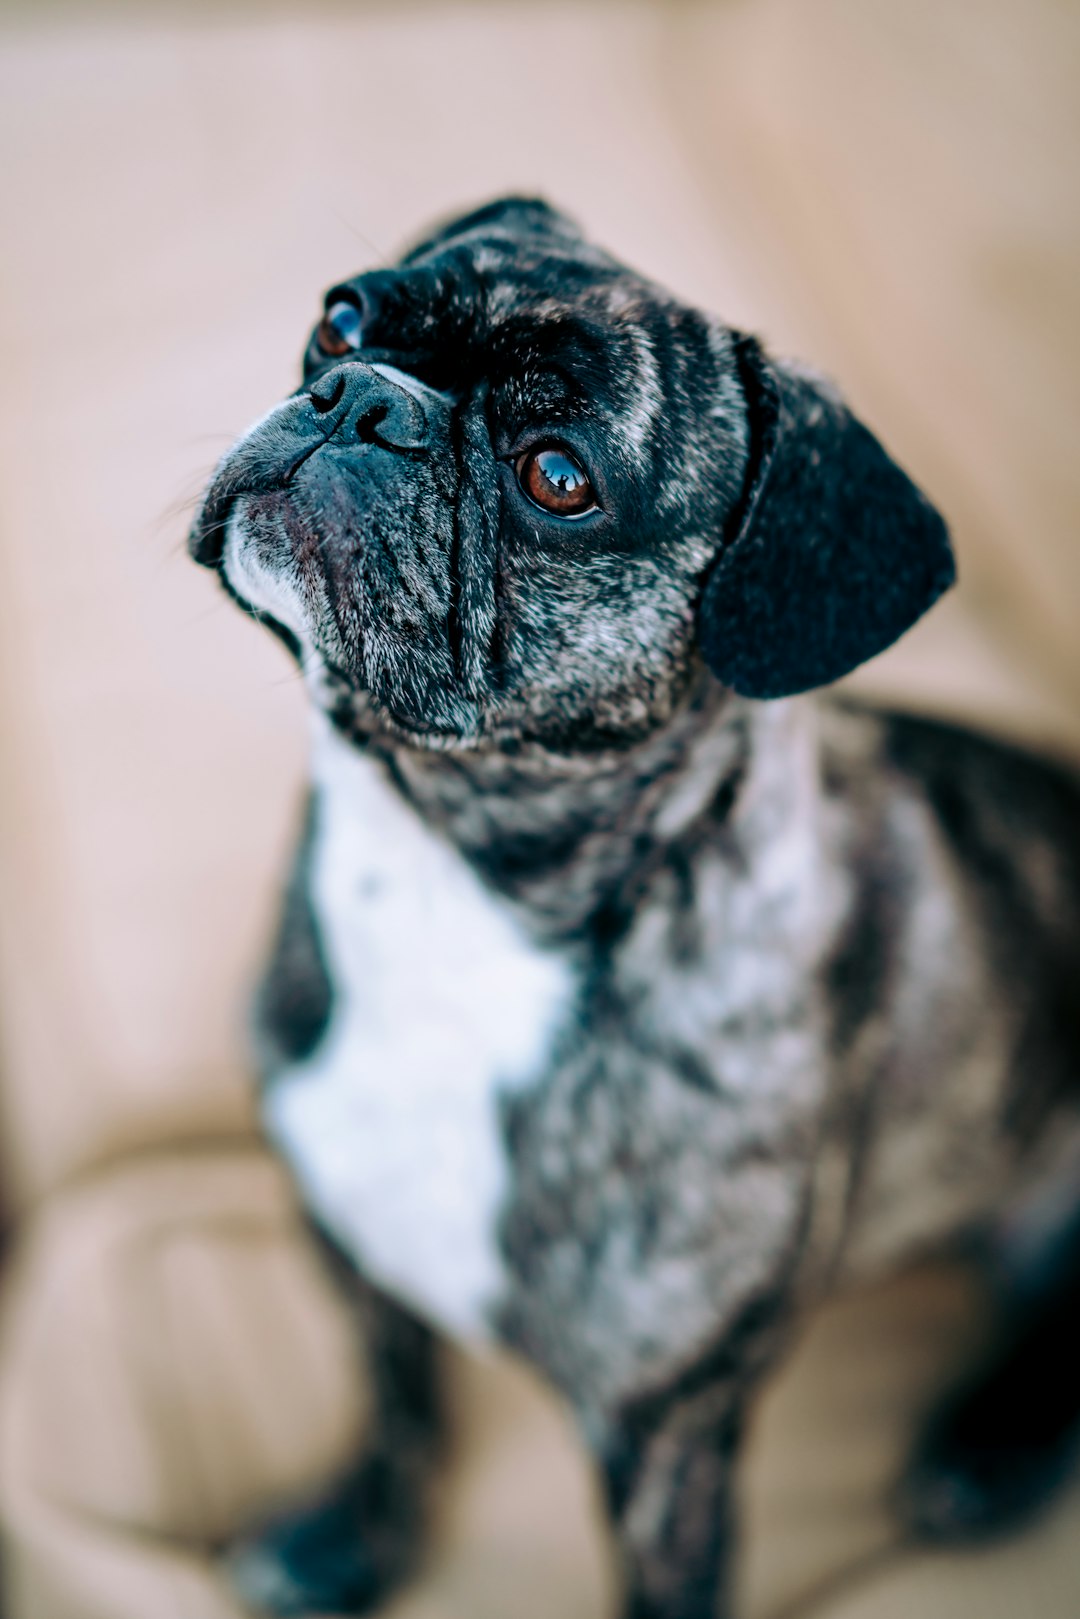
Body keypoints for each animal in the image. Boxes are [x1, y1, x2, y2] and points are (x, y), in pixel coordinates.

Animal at [190, 199, 1080, 1619]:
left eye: (558, 477)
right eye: (341, 318)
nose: (360, 399)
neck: (453, 876)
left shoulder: (664, 1438)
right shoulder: (349, 1237)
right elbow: (396, 1401)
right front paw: (349, 1540)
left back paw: (994, 1441)